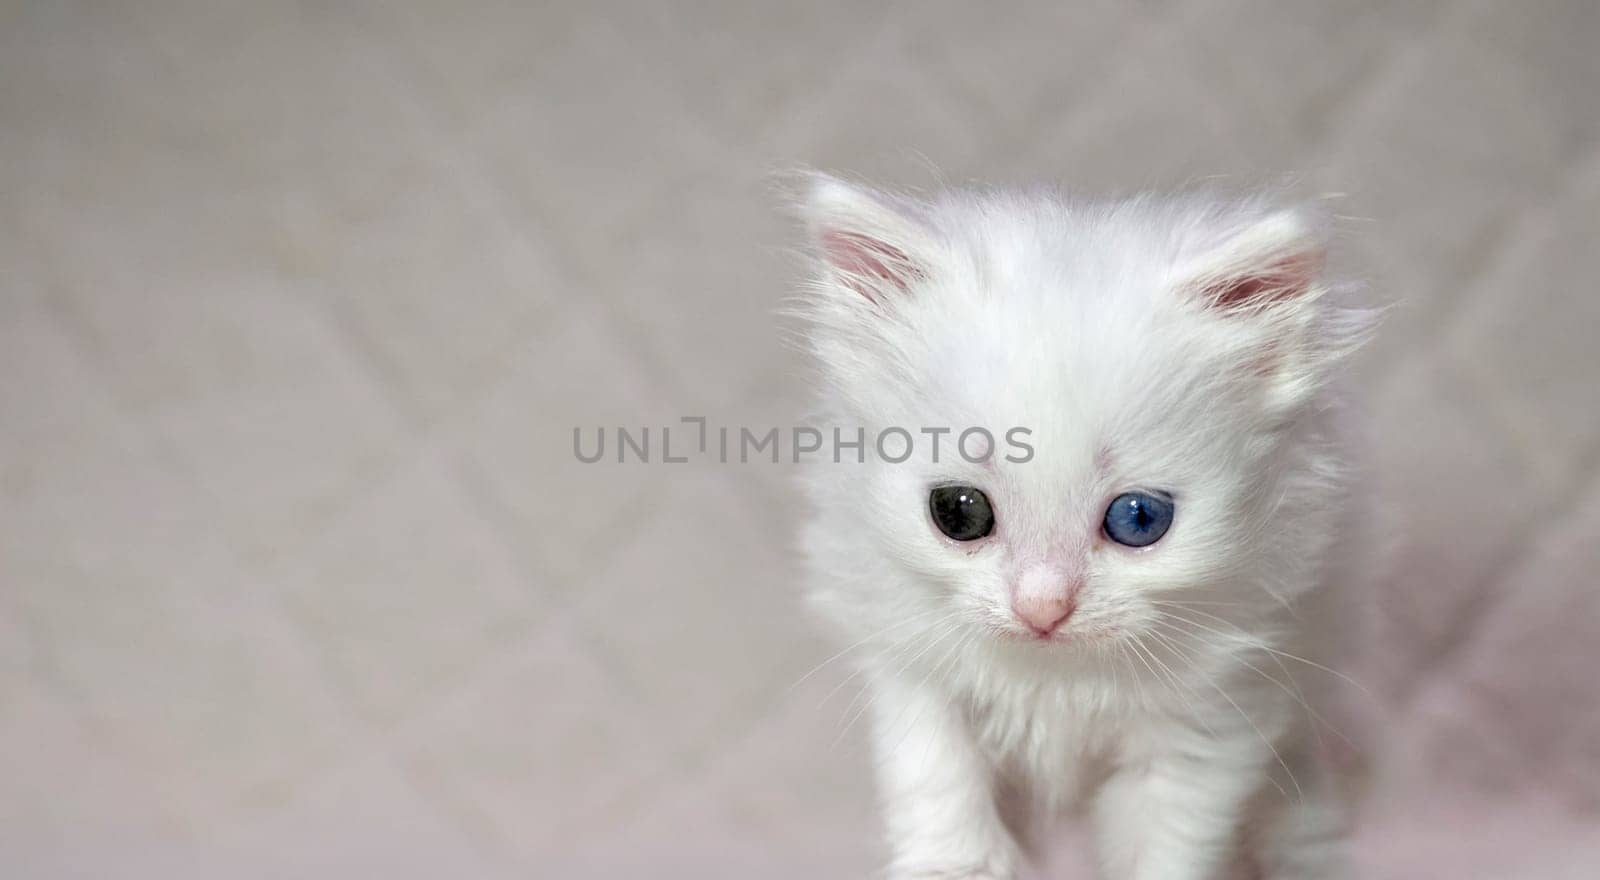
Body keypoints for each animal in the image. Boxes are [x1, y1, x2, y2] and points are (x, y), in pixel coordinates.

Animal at [793, 176, 1369, 876]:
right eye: (958, 512)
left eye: (1138, 518)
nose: (1043, 608)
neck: (1056, 681)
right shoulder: (913, 673)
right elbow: (940, 795)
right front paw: (958, 861)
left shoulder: (1213, 716)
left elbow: (1164, 846)